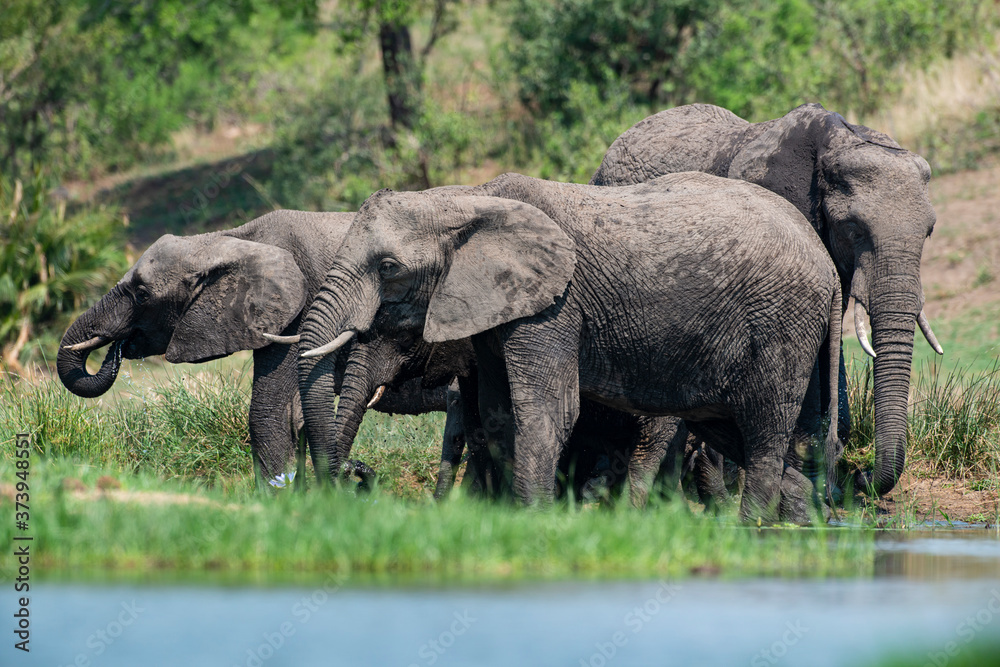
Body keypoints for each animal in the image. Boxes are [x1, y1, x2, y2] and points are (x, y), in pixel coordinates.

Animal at [297, 172, 842, 522]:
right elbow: (497, 412)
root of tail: (829, 263)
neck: (468, 200)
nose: (353, 480)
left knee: (764, 433)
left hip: (782, 327)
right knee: (744, 436)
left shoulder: (555, 306)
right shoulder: (499, 313)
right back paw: (801, 527)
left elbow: (548, 410)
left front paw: (536, 518)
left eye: (388, 267)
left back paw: (750, 532)